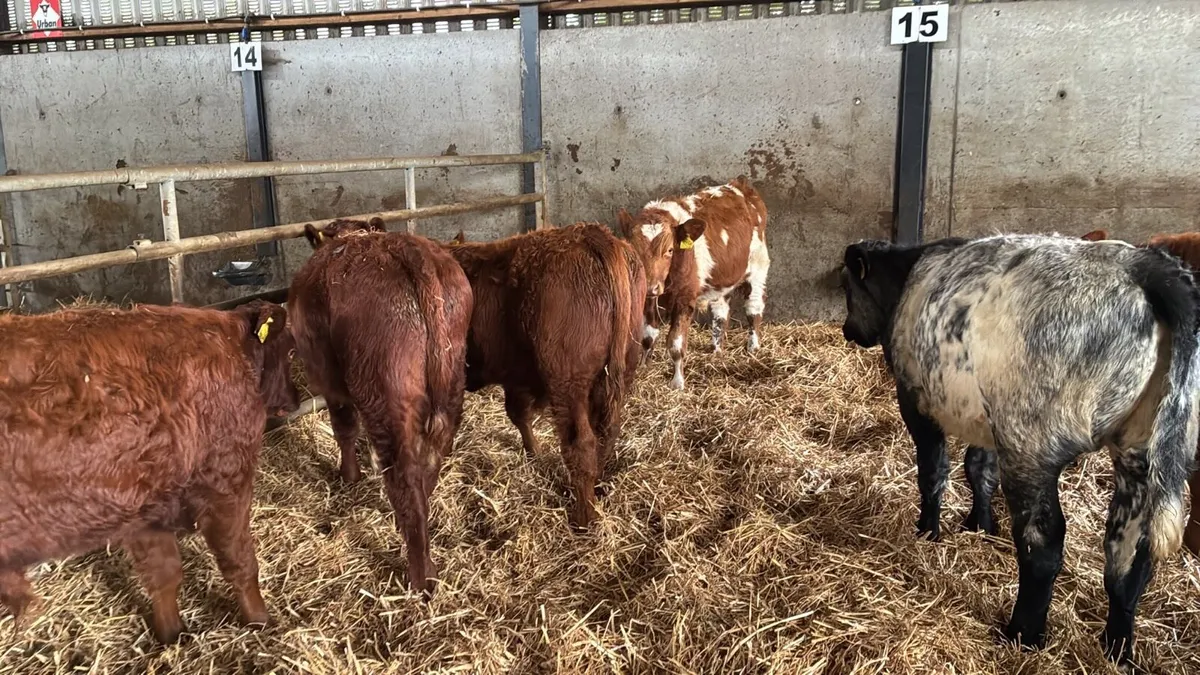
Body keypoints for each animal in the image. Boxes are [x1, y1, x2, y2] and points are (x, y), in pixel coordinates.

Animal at [0, 300, 298, 644]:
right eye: (290, 351)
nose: (294, 401)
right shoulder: (226, 481)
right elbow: (241, 562)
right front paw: (261, 621)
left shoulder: (145, 506)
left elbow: (164, 574)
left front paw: (172, 637)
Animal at [290, 219, 472, 596]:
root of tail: (404, 252)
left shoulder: (331, 384)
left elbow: (344, 428)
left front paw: (349, 476)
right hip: (451, 384)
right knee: (430, 461)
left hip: (386, 397)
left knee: (405, 474)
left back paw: (421, 575)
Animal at [443, 223, 645, 529]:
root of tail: (592, 235)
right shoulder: (517, 378)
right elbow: (519, 415)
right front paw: (534, 454)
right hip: (617, 375)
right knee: (606, 432)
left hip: (568, 384)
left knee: (581, 443)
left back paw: (584, 517)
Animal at [617, 176, 770, 390]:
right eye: (634, 248)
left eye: (670, 250)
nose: (651, 286)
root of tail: (739, 184)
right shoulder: (649, 300)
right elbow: (647, 336)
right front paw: (643, 367)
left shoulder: (684, 299)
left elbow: (676, 343)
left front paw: (678, 382)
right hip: (720, 281)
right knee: (721, 314)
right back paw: (716, 351)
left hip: (757, 267)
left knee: (754, 309)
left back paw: (753, 349)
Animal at [841, 233, 1199, 667]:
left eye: (847, 288)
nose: (847, 329)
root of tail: (1144, 266)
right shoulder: (986, 420)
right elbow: (978, 467)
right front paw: (980, 524)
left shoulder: (916, 401)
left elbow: (933, 471)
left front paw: (927, 530)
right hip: (1141, 451)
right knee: (1130, 551)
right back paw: (1117, 648)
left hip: (1032, 446)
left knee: (1043, 542)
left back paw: (1022, 634)